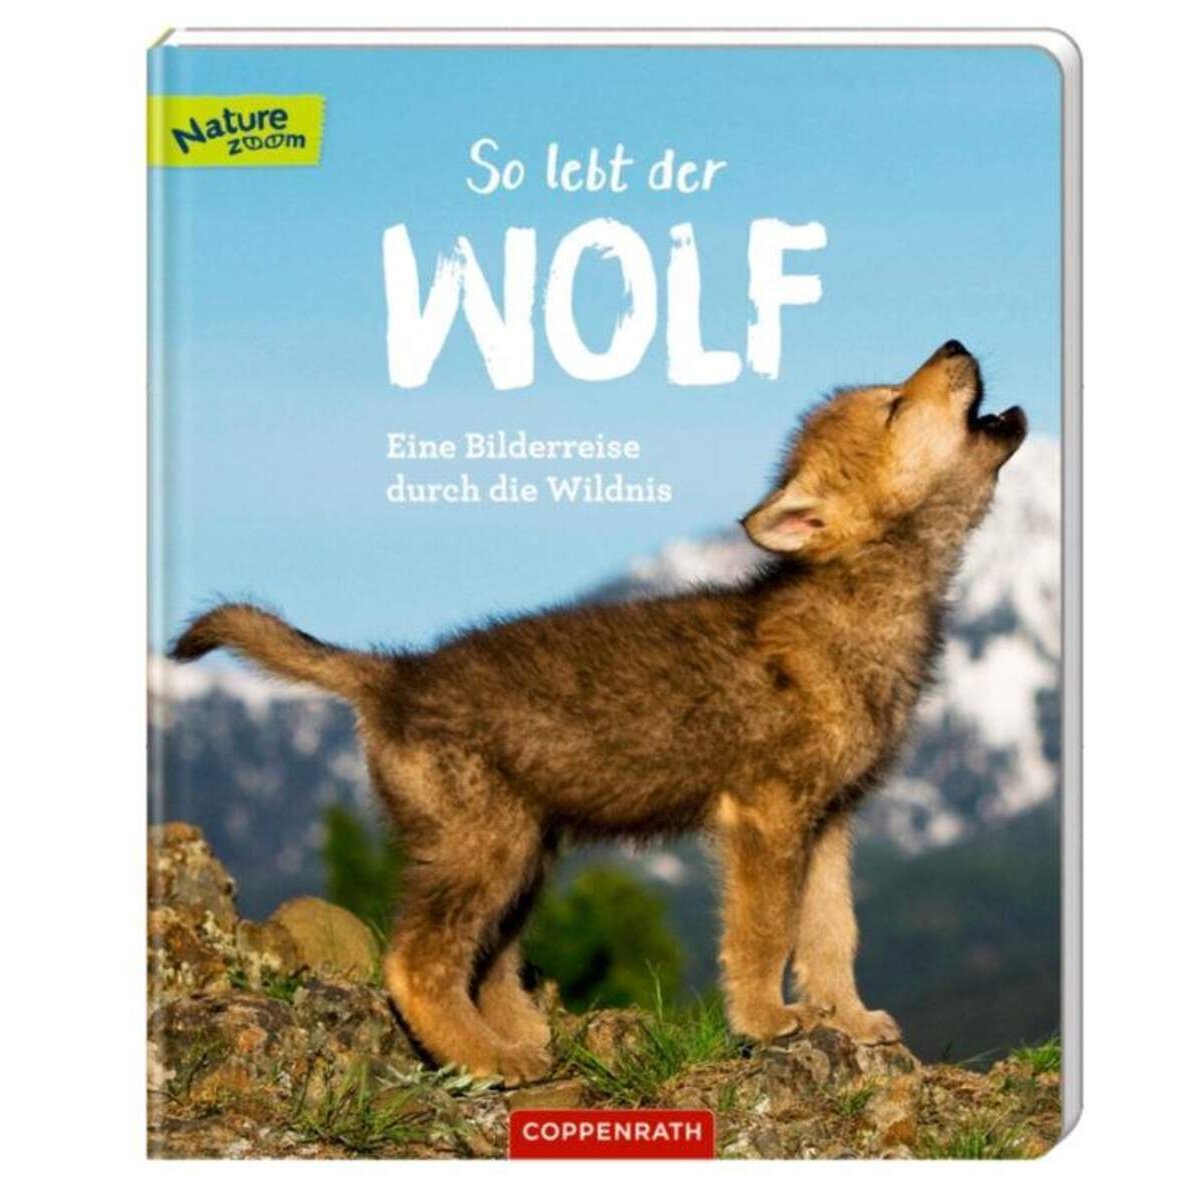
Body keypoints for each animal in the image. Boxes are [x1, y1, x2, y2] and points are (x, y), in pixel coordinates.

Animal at [172, 340, 1026, 1083]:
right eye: (893, 405)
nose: (954, 342)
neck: (866, 600)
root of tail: (396, 673)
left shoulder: (831, 819)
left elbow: (832, 933)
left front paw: (848, 1020)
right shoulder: (766, 813)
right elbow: (764, 933)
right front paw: (766, 1021)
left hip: (521, 856)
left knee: (482, 964)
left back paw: (520, 1038)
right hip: (487, 851)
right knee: (416, 963)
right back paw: (491, 1062)